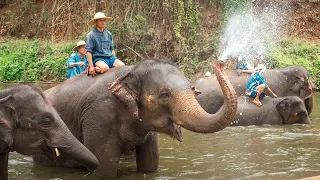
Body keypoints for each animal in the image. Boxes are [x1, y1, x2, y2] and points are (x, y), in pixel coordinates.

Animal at [33, 59, 238, 177]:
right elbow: (104, 168)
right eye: (165, 95)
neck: (131, 71)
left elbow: (150, 165)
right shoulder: (99, 116)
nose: (220, 63)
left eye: (192, 89)